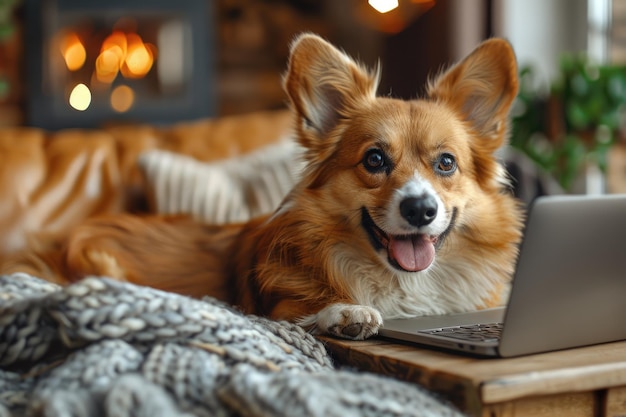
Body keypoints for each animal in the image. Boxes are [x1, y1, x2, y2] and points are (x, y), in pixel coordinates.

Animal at [4, 34, 520, 340]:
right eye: (374, 159)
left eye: (446, 163)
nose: (420, 210)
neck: (403, 282)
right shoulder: (277, 307)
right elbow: (300, 313)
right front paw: (346, 313)